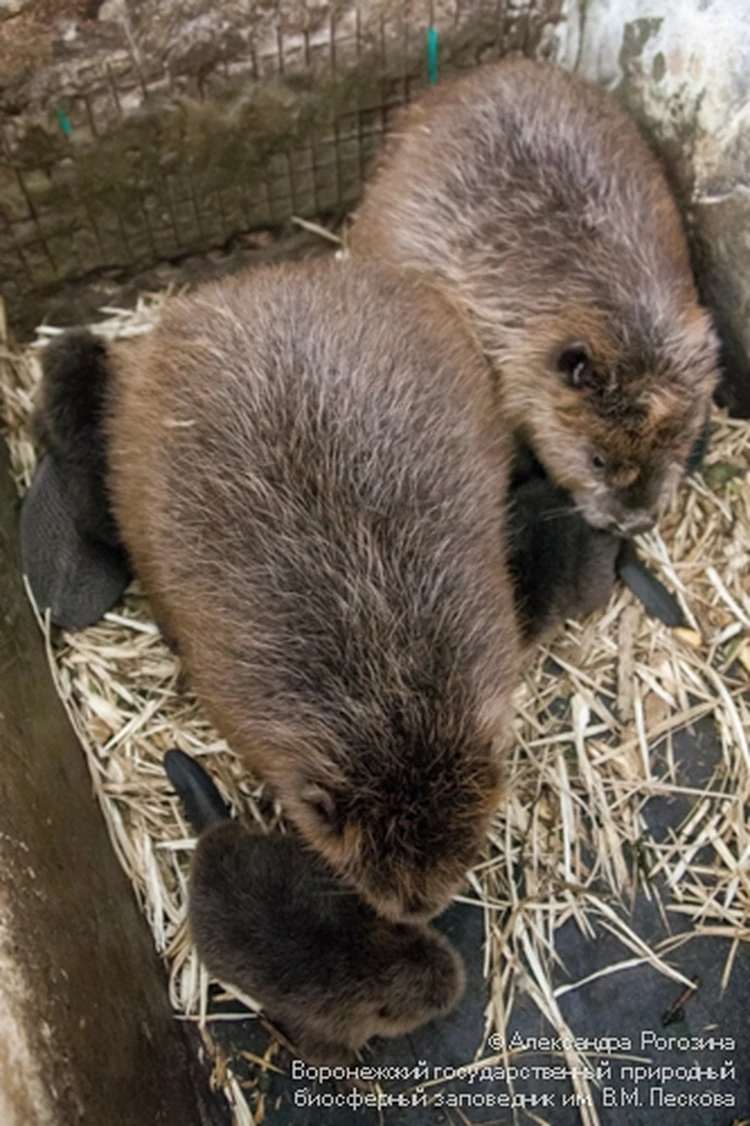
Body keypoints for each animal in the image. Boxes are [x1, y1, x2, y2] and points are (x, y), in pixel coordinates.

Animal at [166, 747, 463, 1062]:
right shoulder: (327, 1023)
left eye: (406, 933)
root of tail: (213, 833)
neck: (361, 958)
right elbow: (323, 1055)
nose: (456, 979)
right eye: (430, 1002)